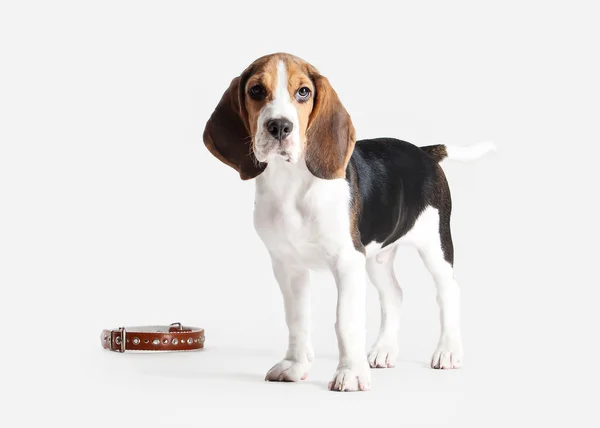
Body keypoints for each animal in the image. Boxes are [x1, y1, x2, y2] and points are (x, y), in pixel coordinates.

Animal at [204, 52, 494, 392]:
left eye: (303, 92)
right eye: (256, 90)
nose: (279, 127)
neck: (290, 184)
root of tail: (425, 153)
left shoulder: (346, 261)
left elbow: (346, 321)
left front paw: (351, 374)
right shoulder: (288, 266)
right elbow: (297, 320)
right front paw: (295, 366)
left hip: (435, 243)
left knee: (448, 291)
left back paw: (448, 351)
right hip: (377, 256)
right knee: (394, 294)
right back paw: (384, 350)